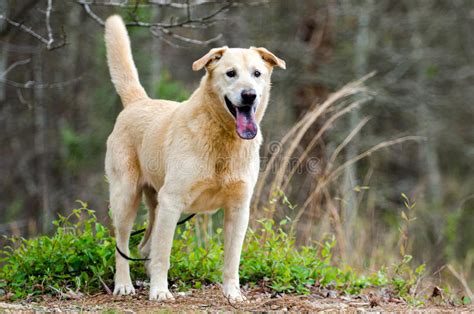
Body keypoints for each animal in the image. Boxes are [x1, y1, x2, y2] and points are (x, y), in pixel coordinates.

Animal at [104, 15, 286, 302]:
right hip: (126, 198)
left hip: (155, 205)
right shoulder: (172, 201)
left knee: (145, 247)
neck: (224, 140)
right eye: (230, 73)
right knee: (123, 245)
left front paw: (233, 294)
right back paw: (124, 284)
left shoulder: (238, 208)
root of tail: (138, 102)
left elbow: (232, 260)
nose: (249, 95)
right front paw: (159, 292)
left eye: (257, 74)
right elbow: (163, 255)